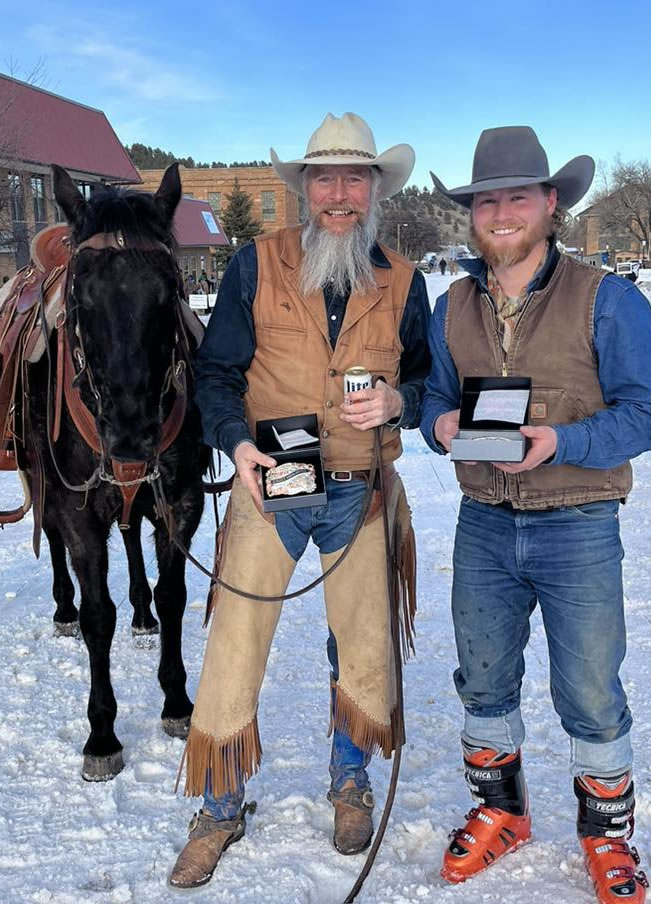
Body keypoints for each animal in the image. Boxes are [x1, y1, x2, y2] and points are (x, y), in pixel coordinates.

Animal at [26, 166, 208, 780]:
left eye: (169, 288)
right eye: (81, 293)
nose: (131, 435)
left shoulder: (180, 502)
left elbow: (173, 594)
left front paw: (177, 701)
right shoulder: (79, 512)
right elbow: (97, 616)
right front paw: (102, 733)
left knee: (130, 537)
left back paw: (142, 615)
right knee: (54, 540)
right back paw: (62, 606)